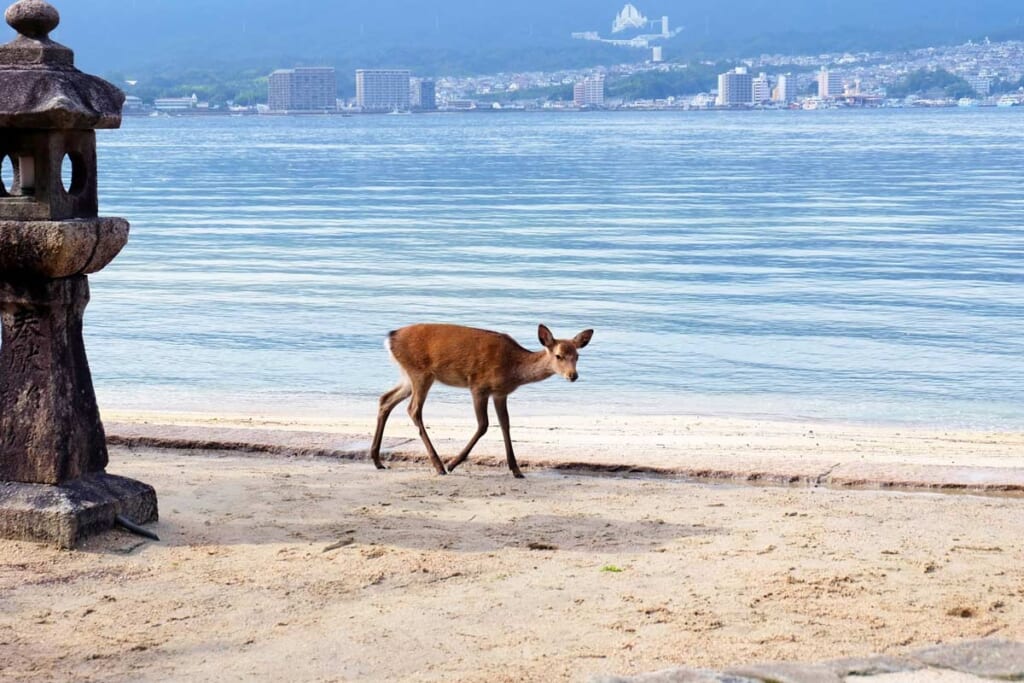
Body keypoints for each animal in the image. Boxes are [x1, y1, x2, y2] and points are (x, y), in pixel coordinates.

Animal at [368, 323, 593, 479]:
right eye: (558, 355)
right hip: (420, 373)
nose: (573, 375)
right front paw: (453, 464)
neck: (513, 368)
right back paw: (439, 466)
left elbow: (505, 425)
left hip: (408, 376)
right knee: (413, 409)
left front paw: (517, 470)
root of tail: (390, 338)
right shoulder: (479, 386)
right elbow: (483, 424)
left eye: (577, 356)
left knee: (385, 399)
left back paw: (377, 460)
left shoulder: (500, 393)